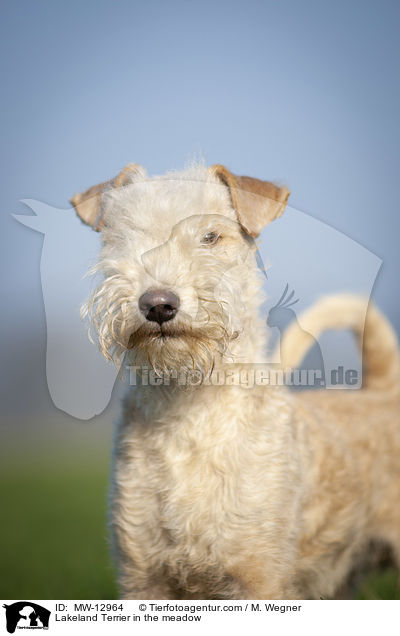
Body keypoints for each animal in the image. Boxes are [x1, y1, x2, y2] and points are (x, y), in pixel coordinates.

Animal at [70, 161, 398, 600]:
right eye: (120, 236)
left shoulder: (259, 576)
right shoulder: (144, 578)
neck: (189, 411)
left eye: (211, 236)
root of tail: (384, 389)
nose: (158, 303)